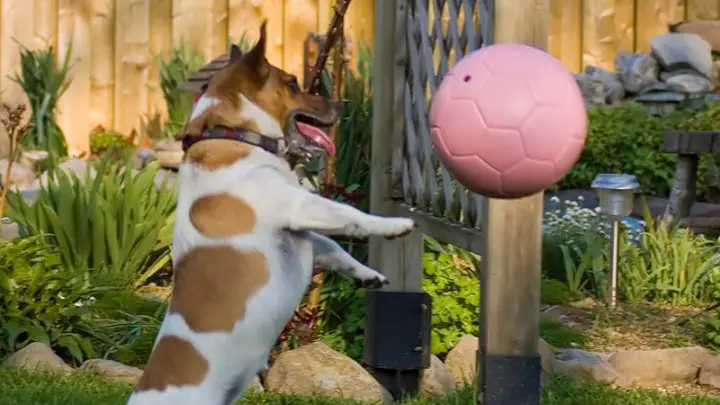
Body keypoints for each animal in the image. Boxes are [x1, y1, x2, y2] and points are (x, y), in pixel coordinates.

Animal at [126, 21, 414, 404]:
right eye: (292, 83)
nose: (340, 103)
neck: (234, 137)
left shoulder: (302, 233)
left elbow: (334, 248)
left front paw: (369, 275)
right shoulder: (299, 207)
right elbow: (351, 216)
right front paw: (396, 224)